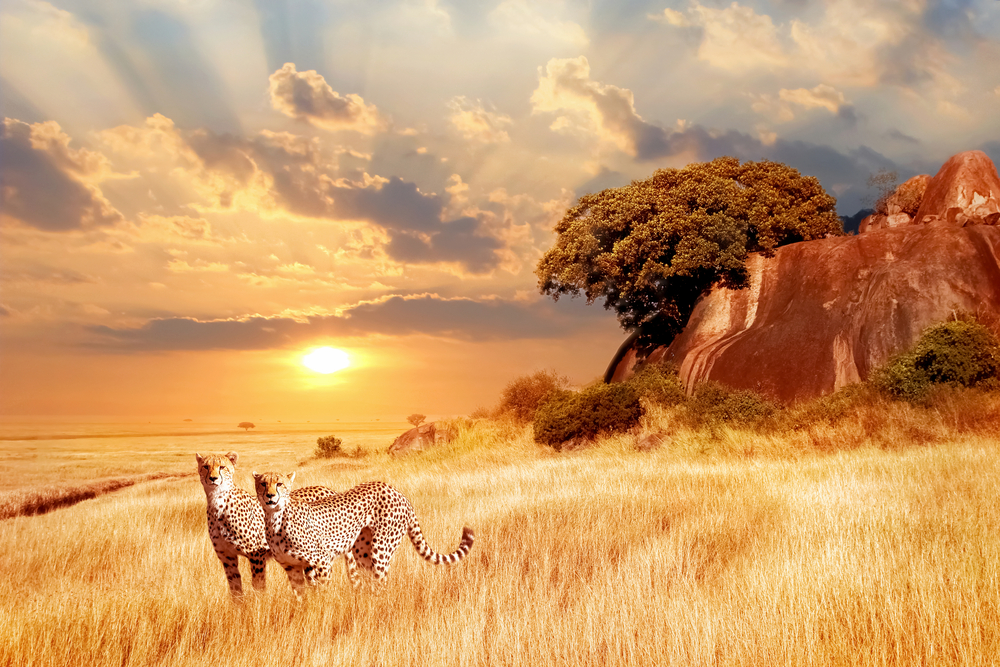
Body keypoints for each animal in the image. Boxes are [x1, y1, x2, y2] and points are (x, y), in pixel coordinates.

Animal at [195, 452, 374, 596]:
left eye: (222, 467)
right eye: (205, 466)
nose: (213, 478)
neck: (217, 502)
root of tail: (328, 489)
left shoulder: (256, 554)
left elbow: (258, 585)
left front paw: (258, 606)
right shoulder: (227, 557)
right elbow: (235, 588)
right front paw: (239, 610)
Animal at [252, 472, 474, 593]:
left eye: (279, 483)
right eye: (263, 483)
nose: (270, 496)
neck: (275, 518)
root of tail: (397, 492)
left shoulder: (322, 561)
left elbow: (322, 592)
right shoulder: (292, 568)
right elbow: (300, 597)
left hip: (381, 549)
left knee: (381, 583)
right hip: (362, 552)